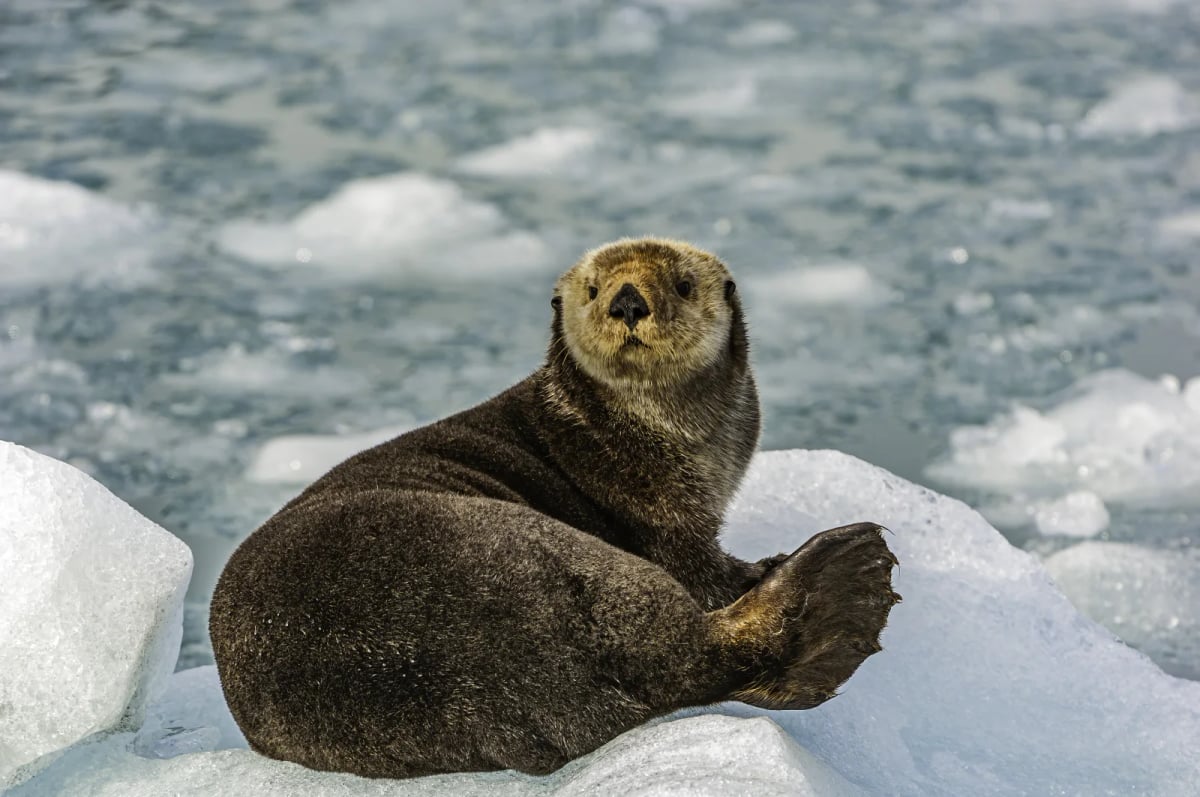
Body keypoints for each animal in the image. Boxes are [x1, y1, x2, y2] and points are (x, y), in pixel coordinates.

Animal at [209, 237, 898, 779]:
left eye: (680, 283)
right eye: (594, 289)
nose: (628, 301)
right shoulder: (661, 511)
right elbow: (704, 568)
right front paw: (761, 564)